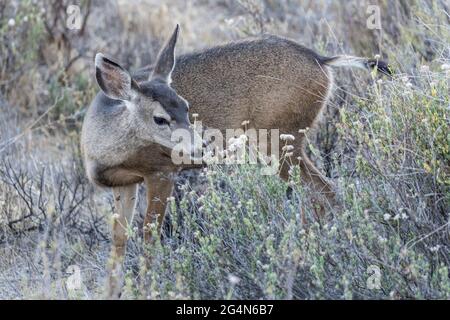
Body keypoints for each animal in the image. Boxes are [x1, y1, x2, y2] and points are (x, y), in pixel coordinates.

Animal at [81, 25, 390, 298]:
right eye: (159, 118)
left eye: (186, 106)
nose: (201, 145)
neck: (106, 152)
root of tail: (322, 60)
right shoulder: (124, 184)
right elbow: (119, 241)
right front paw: (111, 293)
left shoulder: (162, 171)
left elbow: (149, 235)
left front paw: (147, 289)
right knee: (317, 195)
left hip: (277, 140)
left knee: (324, 190)